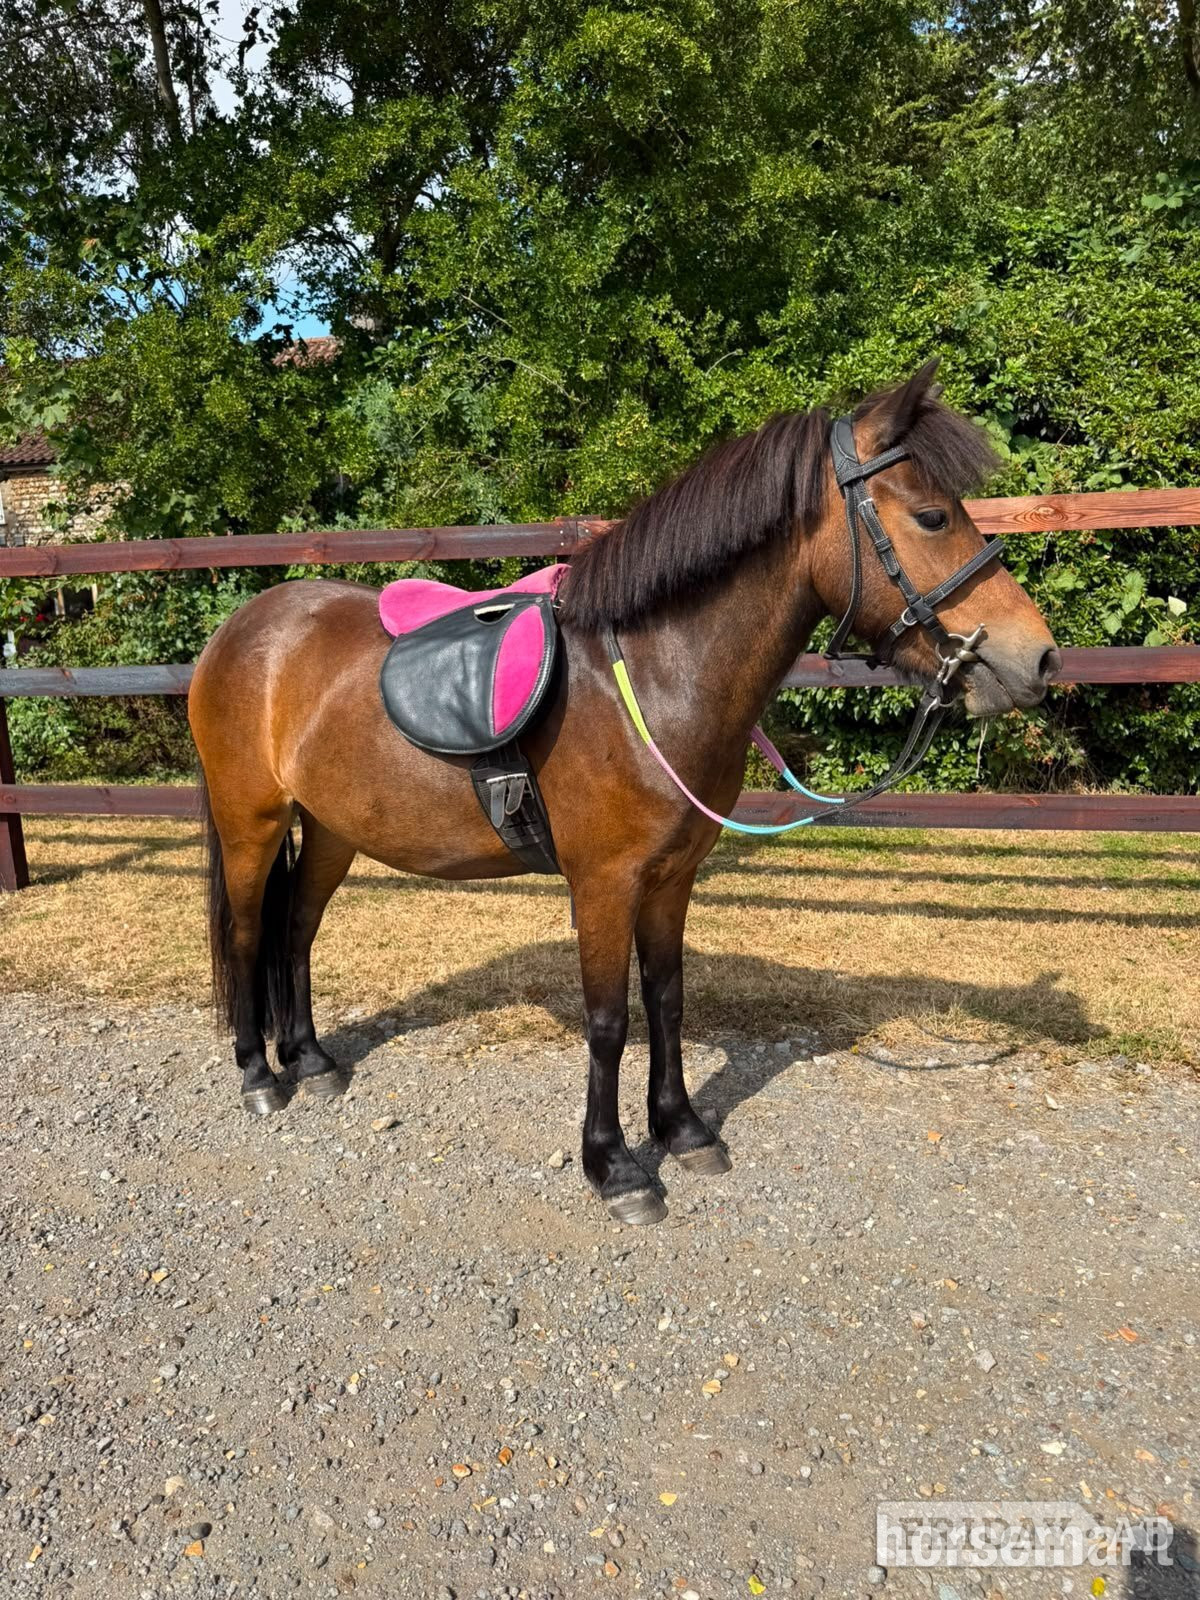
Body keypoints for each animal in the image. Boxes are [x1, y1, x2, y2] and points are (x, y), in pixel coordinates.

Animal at [189, 362, 1058, 1225]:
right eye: (933, 516)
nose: (1041, 658)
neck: (648, 677)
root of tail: (243, 629)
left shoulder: (671, 880)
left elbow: (667, 999)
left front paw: (682, 1129)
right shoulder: (604, 886)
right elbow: (609, 1022)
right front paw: (615, 1167)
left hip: (332, 826)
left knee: (297, 930)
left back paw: (310, 1059)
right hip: (251, 822)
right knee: (247, 933)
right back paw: (260, 1075)